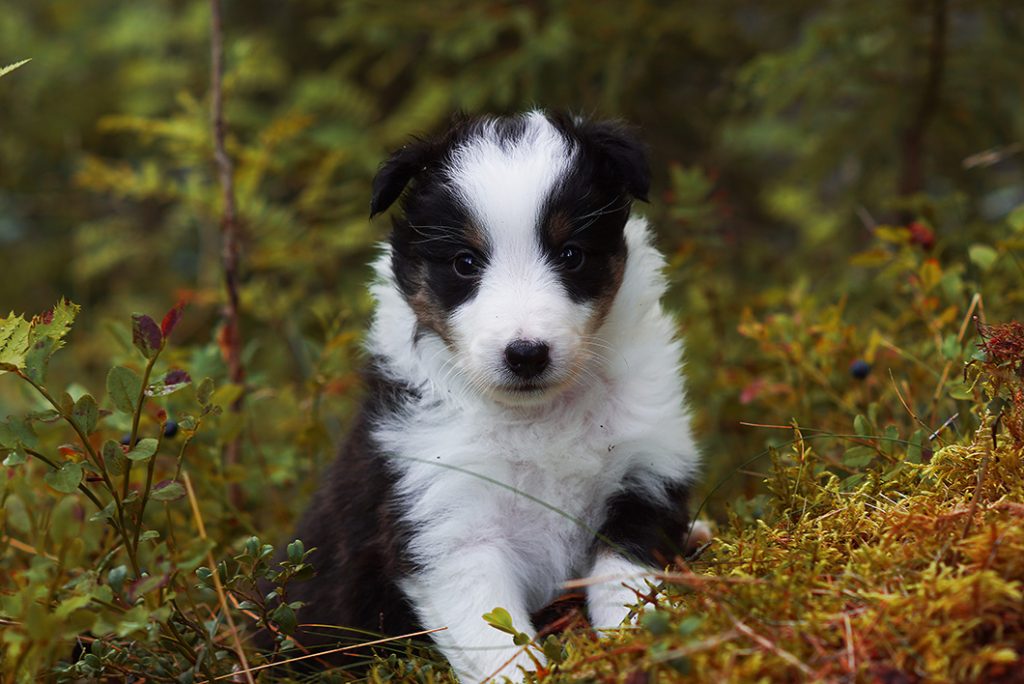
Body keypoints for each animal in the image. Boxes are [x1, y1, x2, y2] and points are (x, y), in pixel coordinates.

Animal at [282, 111, 704, 679]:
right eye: (465, 262)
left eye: (571, 255)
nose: (526, 354)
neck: (538, 416)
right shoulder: (450, 523)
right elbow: (496, 640)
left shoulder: (646, 475)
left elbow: (628, 580)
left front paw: (640, 645)